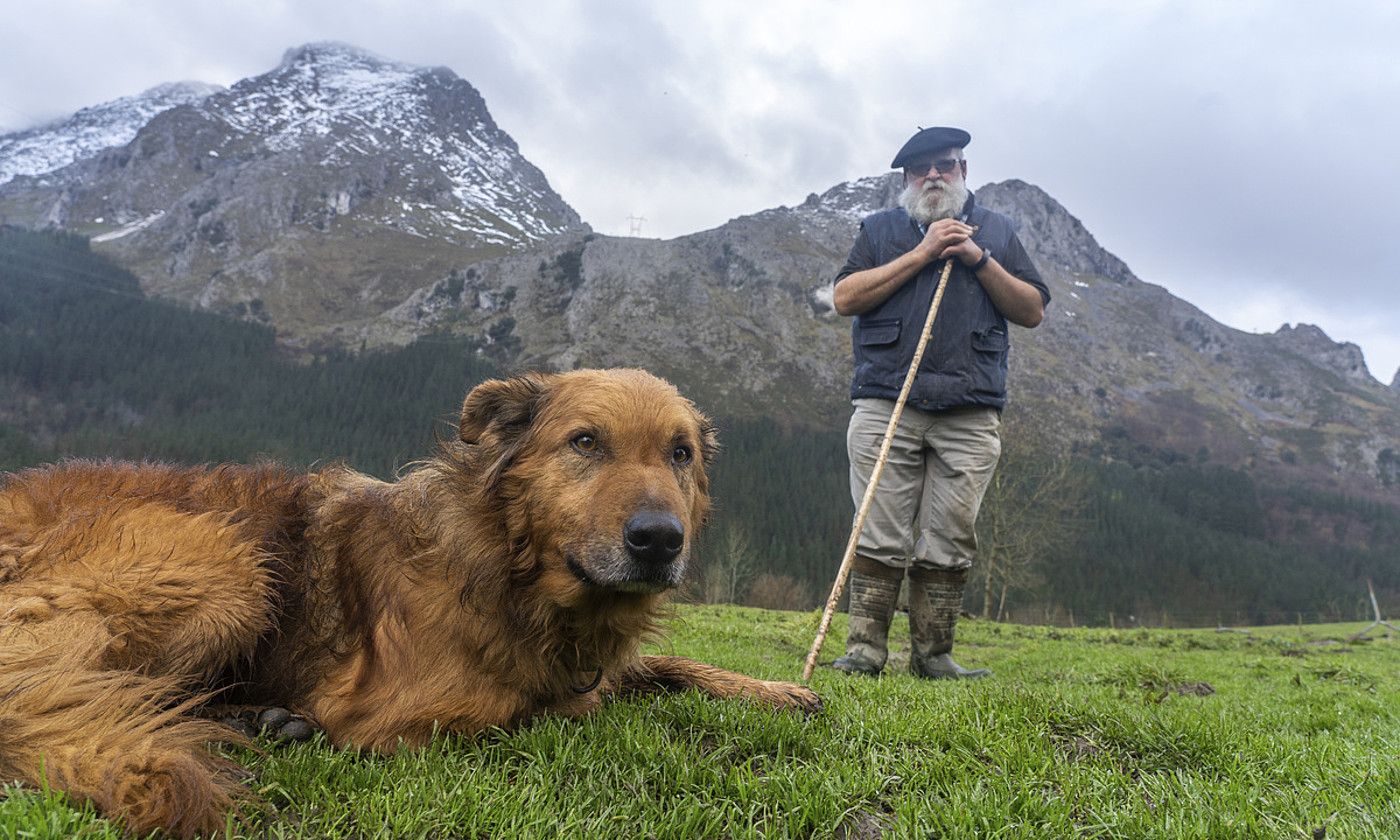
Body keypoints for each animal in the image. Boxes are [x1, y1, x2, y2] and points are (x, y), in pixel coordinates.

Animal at [0, 369, 817, 834]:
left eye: (680, 454)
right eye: (585, 442)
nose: (659, 541)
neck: (507, 562)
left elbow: (663, 665)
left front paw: (774, 688)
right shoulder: (400, 717)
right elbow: (545, 709)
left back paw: (260, 720)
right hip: (224, 565)